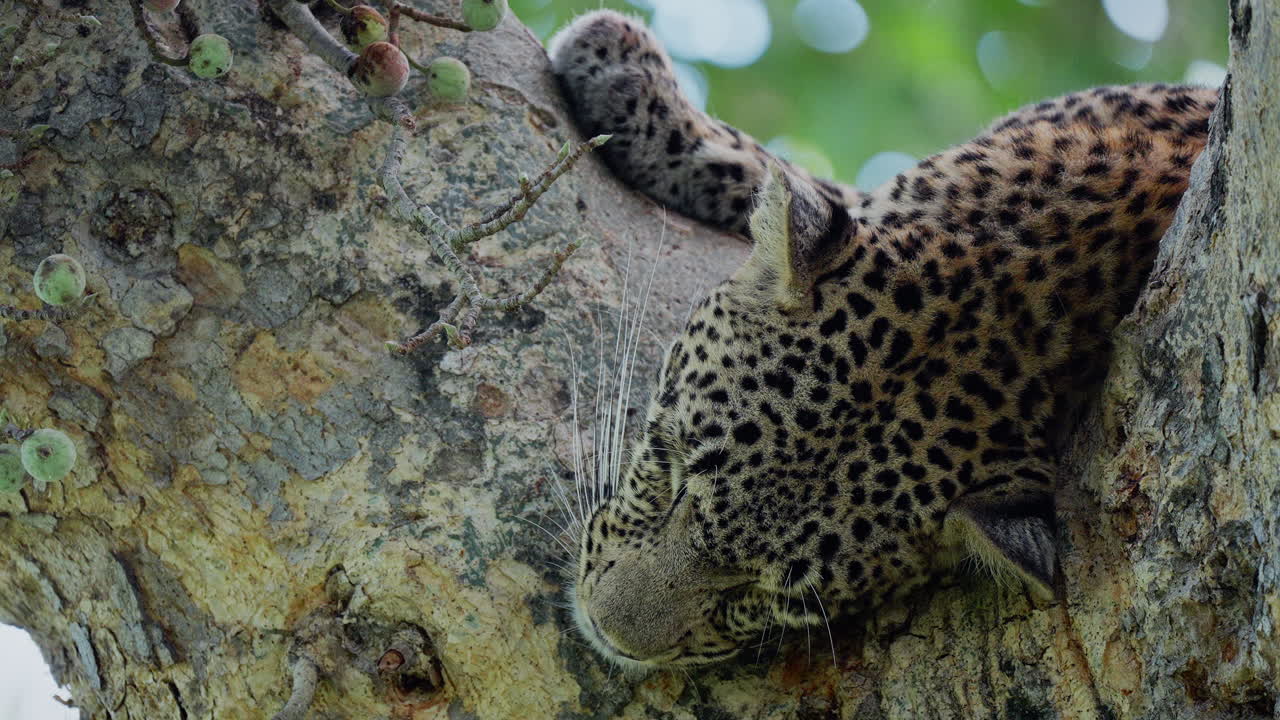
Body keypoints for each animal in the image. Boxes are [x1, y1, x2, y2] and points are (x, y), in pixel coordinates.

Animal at [547, 9, 1218, 669]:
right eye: (671, 468)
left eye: (776, 596)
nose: (609, 632)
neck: (1043, 267)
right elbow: (794, 178)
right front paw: (621, 65)